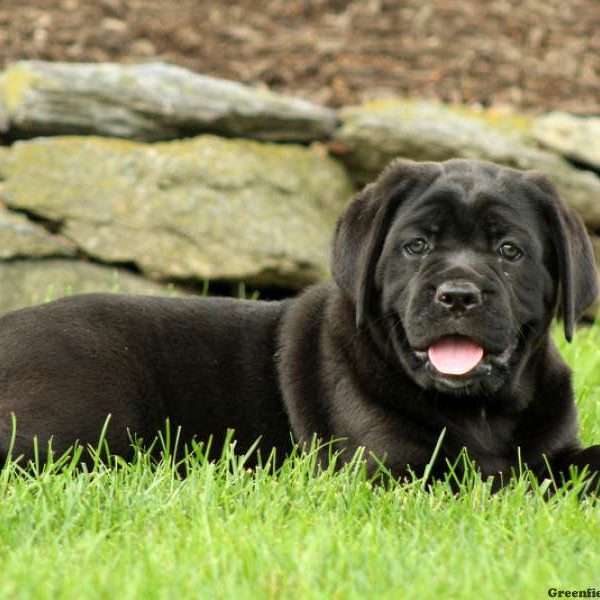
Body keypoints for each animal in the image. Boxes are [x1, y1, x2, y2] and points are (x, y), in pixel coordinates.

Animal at [1, 157, 600, 490]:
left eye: (509, 250)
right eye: (416, 246)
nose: (457, 295)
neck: (482, 411)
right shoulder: (390, 468)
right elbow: (503, 481)